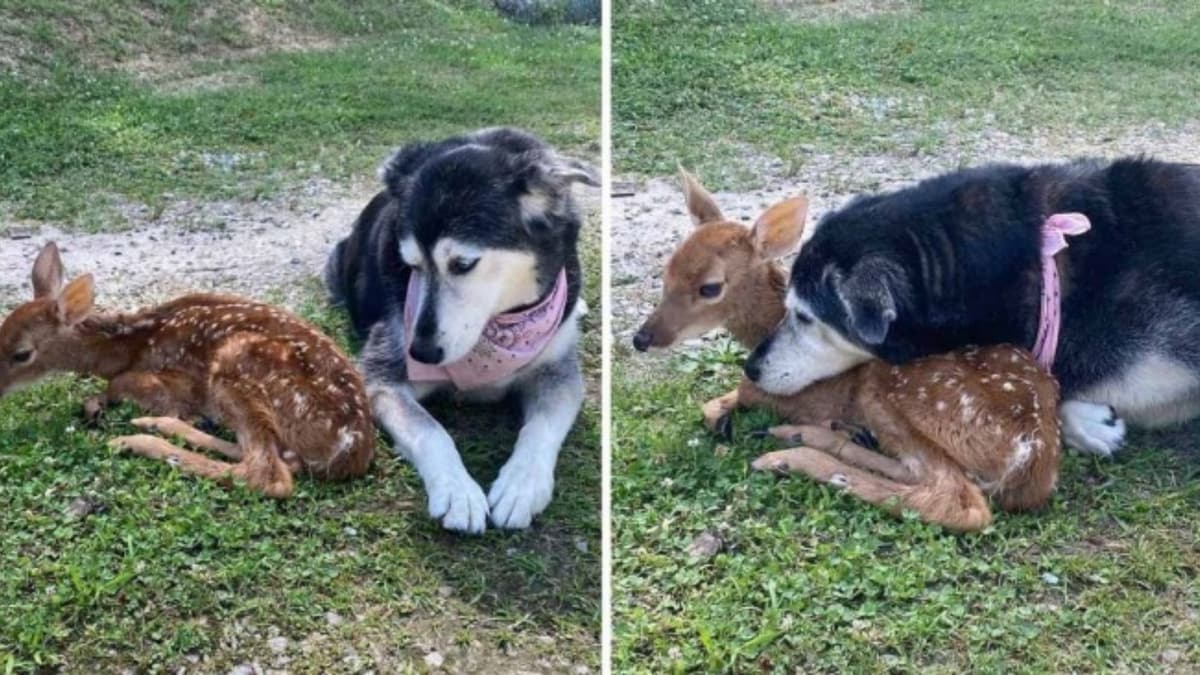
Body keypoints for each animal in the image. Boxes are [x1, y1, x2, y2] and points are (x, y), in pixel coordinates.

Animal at [0, 242, 374, 498]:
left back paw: (137, 440)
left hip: (236, 364)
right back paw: (157, 425)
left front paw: (101, 406)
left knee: (268, 474)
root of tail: (350, 452)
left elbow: (120, 383)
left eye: (22, 354)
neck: (129, 345)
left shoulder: (177, 381)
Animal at [633, 170, 1061, 531]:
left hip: (900, 391)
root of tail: (1035, 457)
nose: (642, 338)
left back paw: (788, 456)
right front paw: (723, 417)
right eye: (667, 271)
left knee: (956, 500)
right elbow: (714, 401)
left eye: (710, 287)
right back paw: (807, 436)